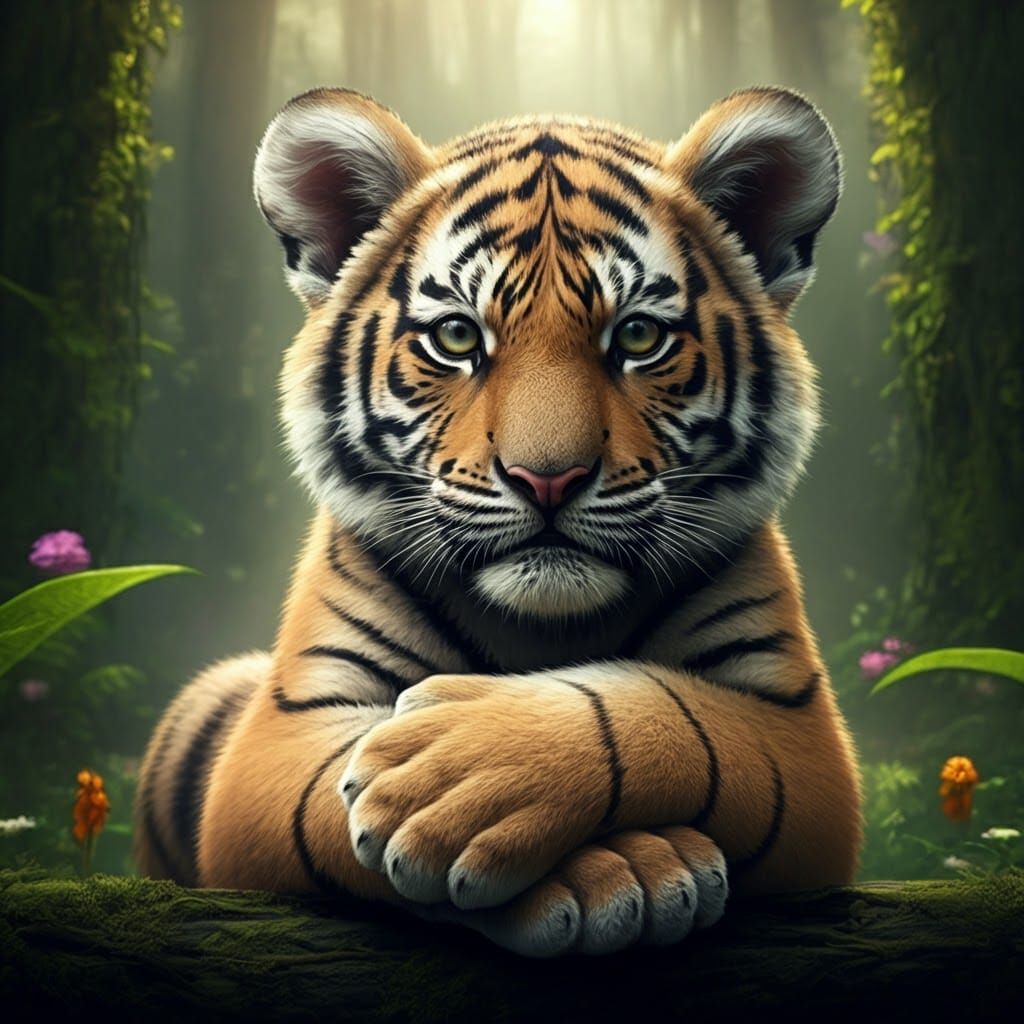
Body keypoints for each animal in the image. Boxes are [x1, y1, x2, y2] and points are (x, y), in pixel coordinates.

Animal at [133, 85, 862, 957]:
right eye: (456, 336)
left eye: (638, 335)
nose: (547, 479)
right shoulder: (277, 741)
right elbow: (330, 793)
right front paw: (620, 869)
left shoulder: (801, 737)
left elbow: (677, 713)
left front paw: (464, 776)